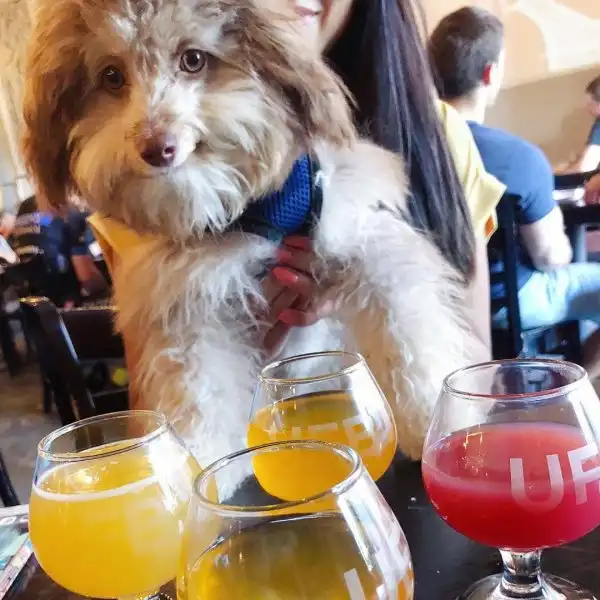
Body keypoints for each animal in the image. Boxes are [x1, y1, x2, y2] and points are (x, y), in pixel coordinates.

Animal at [21, 0, 481, 471]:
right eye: (112, 76)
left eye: (193, 59)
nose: (157, 147)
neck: (254, 210)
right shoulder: (190, 305)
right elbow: (200, 390)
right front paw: (195, 463)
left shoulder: (369, 242)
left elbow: (408, 332)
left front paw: (431, 417)